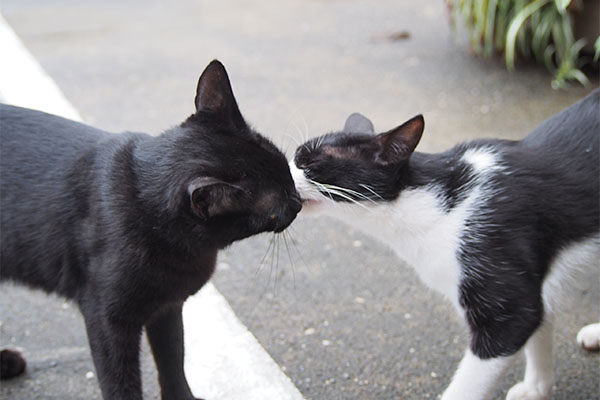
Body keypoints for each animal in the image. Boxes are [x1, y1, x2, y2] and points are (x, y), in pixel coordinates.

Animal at [0, 60, 300, 400]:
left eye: (287, 172)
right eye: (279, 202)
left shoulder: (167, 307)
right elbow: (120, 382)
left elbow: (173, 359)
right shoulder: (107, 319)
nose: (299, 199)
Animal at [288, 90, 596, 400]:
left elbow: (504, 340)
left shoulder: (506, 296)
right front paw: (537, 388)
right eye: (295, 156)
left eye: (310, 163)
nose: (283, 173)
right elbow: (542, 320)